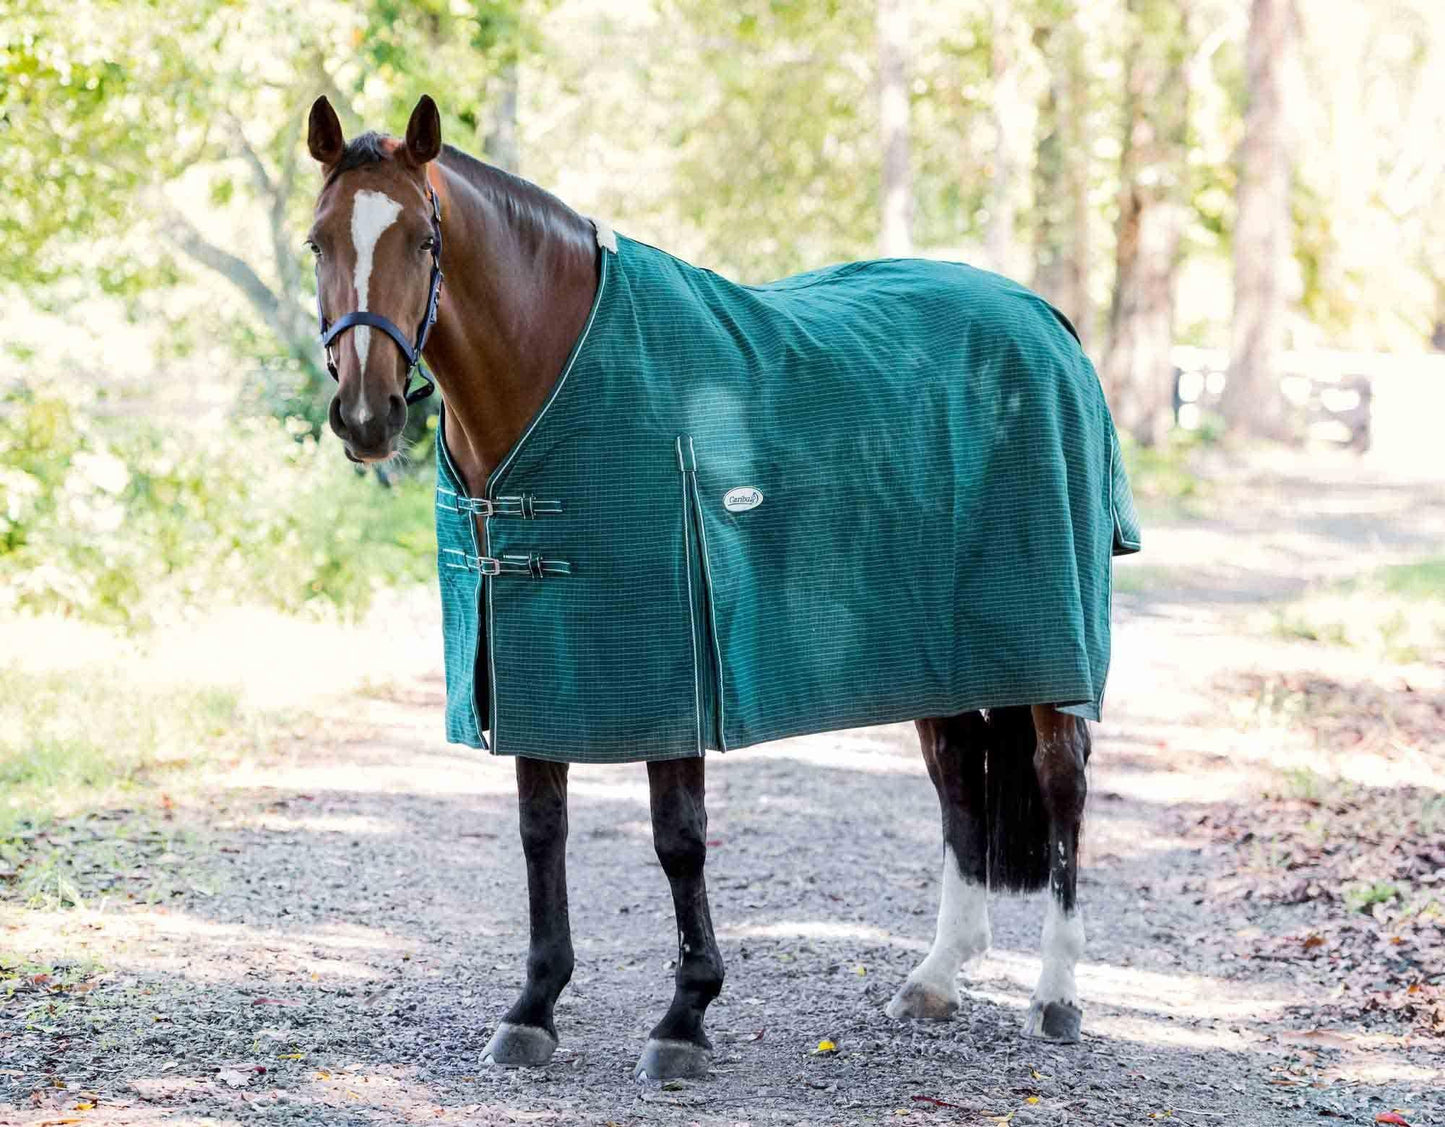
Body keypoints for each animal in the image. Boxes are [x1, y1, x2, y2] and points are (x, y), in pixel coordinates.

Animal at [304, 92, 1135, 1082]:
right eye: (318, 240)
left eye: (424, 240)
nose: (366, 415)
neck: (556, 372)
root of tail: (1046, 319)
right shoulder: (528, 656)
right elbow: (541, 829)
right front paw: (533, 1007)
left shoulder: (675, 667)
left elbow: (678, 837)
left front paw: (684, 1016)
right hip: (940, 654)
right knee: (956, 777)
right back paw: (936, 976)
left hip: (1051, 647)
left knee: (1061, 781)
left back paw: (1057, 993)